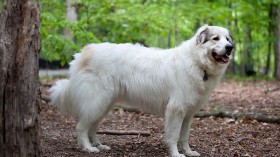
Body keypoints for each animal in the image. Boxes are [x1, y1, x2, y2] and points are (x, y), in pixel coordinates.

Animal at [48, 25, 234, 156]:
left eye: (227, 38)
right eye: (215, 38)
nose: (230, 47)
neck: (197, 62)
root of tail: (82, 54)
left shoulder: (188, 113)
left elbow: (184, 136)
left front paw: (188, 152)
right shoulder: (176, 110)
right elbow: (174, 136)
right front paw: (176, 154)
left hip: (104, 104)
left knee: (92, 126)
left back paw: (99, 145)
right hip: (97, 101)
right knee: (81, 127)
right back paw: (88, 148)